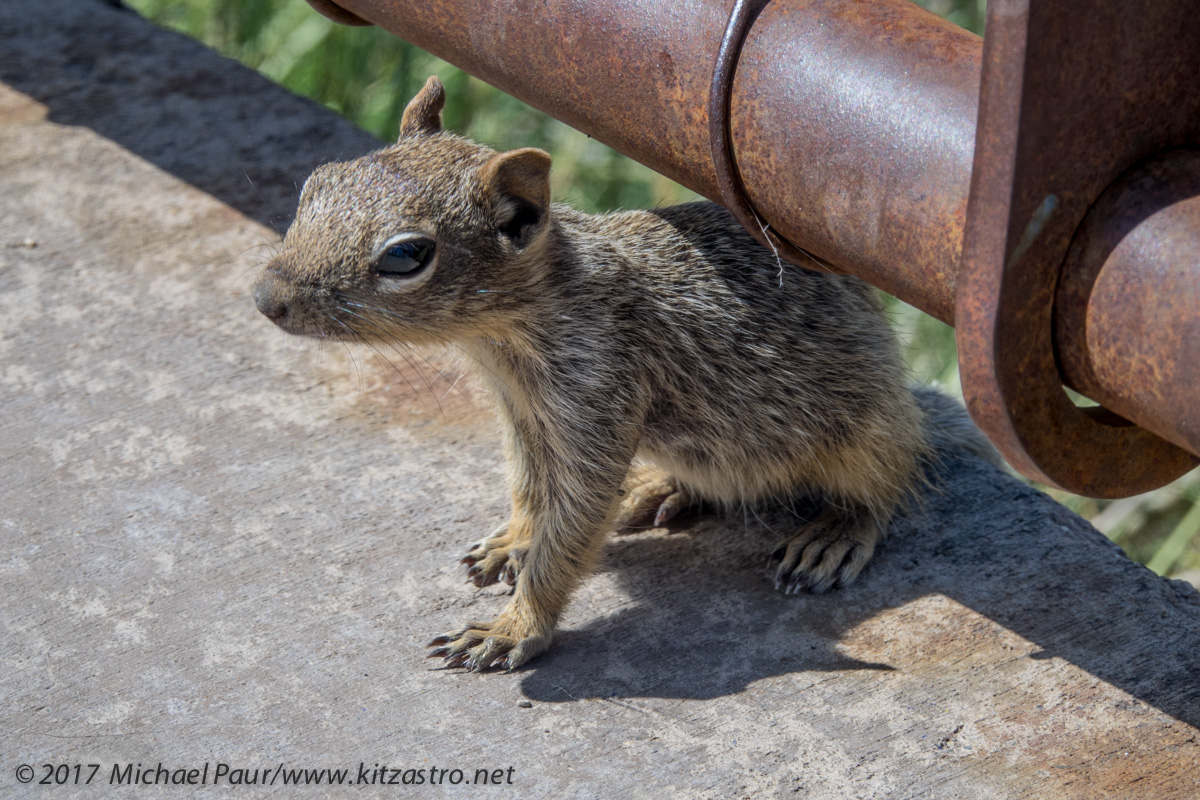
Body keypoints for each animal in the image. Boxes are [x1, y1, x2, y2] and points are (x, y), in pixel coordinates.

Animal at [255, 77, 1003, 671]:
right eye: (317, 180)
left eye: (407, 255)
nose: (266, 297)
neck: (506, 338)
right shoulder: (522, 416)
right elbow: (531, 486)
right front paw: (516, 537)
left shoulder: (599, 391)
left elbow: (575, 515)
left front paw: (516, 626)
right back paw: (658, 488)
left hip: (865, 434)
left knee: (891, 484)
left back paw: (834, 531)